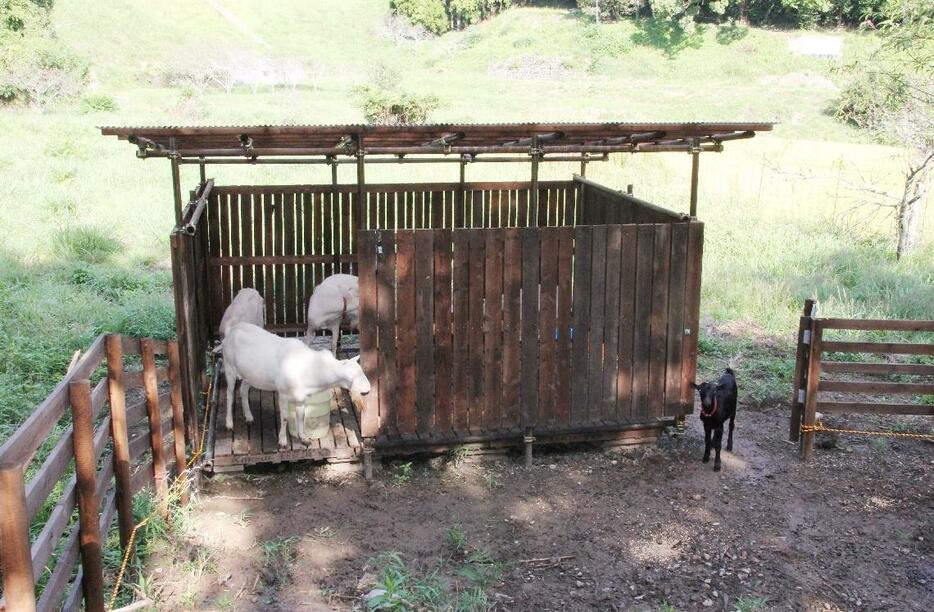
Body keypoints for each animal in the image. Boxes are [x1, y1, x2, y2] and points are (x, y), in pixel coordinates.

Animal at [223, 320, 372, 444]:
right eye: (357, 376)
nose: (368, 389)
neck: (312, 369)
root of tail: (231, 330)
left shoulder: (301, 397)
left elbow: (301, 416)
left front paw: (303, 437)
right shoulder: (283, 395)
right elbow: (285, 418)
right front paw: (282, 441)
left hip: (250, 375)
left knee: (243, 390)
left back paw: (249, 417)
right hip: (229, 367)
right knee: (229, 395)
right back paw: (229, 424)